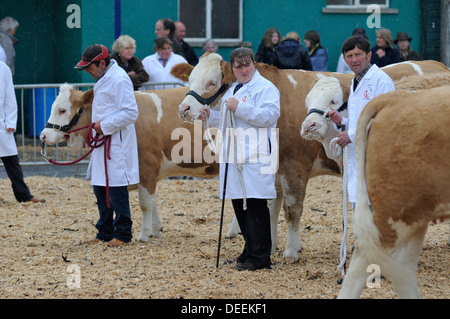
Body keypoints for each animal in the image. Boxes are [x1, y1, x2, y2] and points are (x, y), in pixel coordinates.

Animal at [172, 54, 446, 260]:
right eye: (191, 79)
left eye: (211, 82)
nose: (184, 108)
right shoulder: (273, 172)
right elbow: (269, 208)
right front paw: (270, 246)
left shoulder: (295, 167)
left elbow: (292, 209)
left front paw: (291, 251)